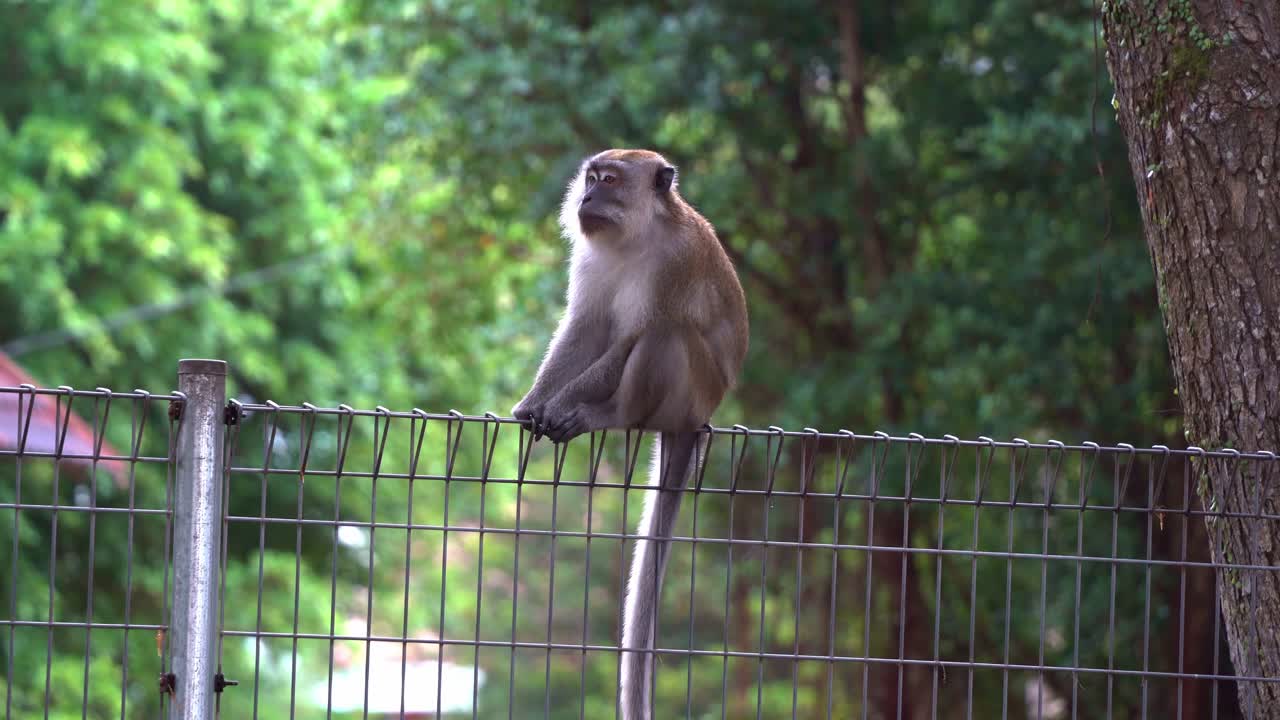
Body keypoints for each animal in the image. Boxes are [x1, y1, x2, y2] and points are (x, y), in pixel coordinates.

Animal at [511, 149, 748, 720]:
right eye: (592, 178)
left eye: (612, 181)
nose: (587, 197)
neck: (637, 236)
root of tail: (697, 420)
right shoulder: (590, 260)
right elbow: (585, 327)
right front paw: (533, 402)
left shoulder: (676, 264)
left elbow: (632, 337)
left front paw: (559, 406)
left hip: (689, 394)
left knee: (666, 334)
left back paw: (606, 412)